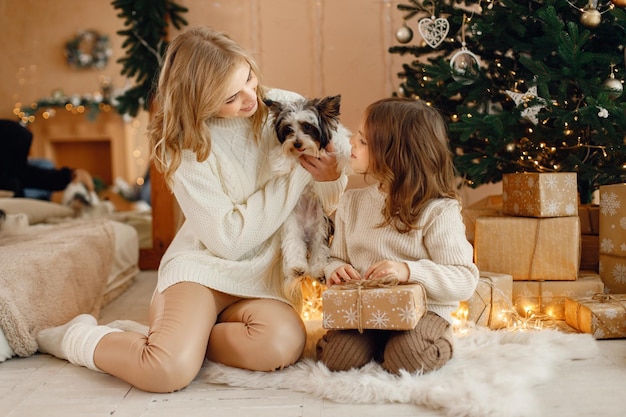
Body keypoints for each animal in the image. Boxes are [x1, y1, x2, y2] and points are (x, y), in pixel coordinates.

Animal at [264, 94, 352, 302]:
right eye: (288, 129)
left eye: (307, 126)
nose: (297, 143)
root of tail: (306, 235)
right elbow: (281, 153)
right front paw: (282, 162)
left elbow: (340, 140)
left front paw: (346, 153)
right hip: (292, 229)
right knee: (294, 249)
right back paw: (297, 269)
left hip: (321, 230)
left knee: (320, 253)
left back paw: (318, 271)